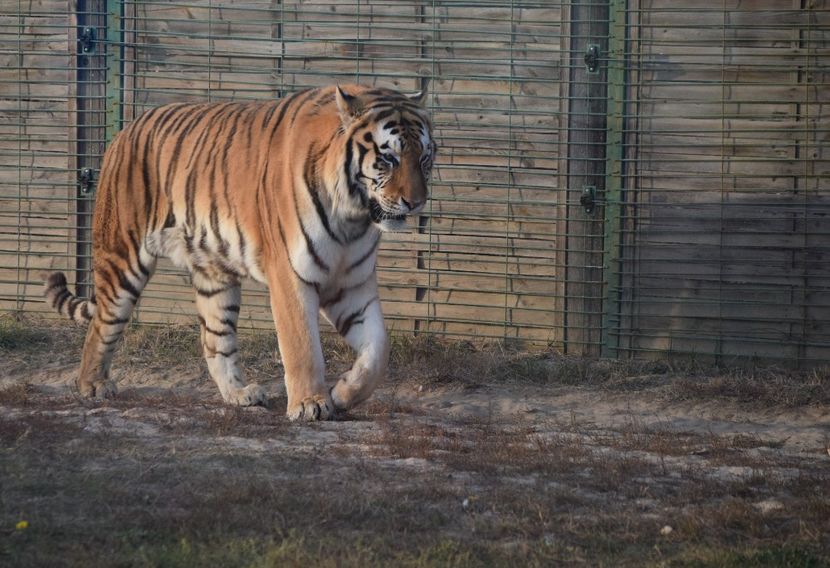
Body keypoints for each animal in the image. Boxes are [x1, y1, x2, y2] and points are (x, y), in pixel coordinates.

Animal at [44, 84, 436, 422]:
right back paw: (93, 384)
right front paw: (310, 404)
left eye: (424, 158)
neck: (353, 216)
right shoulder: (291, 276)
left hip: (214, 276)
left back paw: (239, 394)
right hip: (122, 258)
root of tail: (127, 128)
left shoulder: (351, 286)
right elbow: (302, 347)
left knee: (214, 340)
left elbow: (378, 350)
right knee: (101, 324)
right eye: (388, 158)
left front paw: (342, 393)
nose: (416, 203)